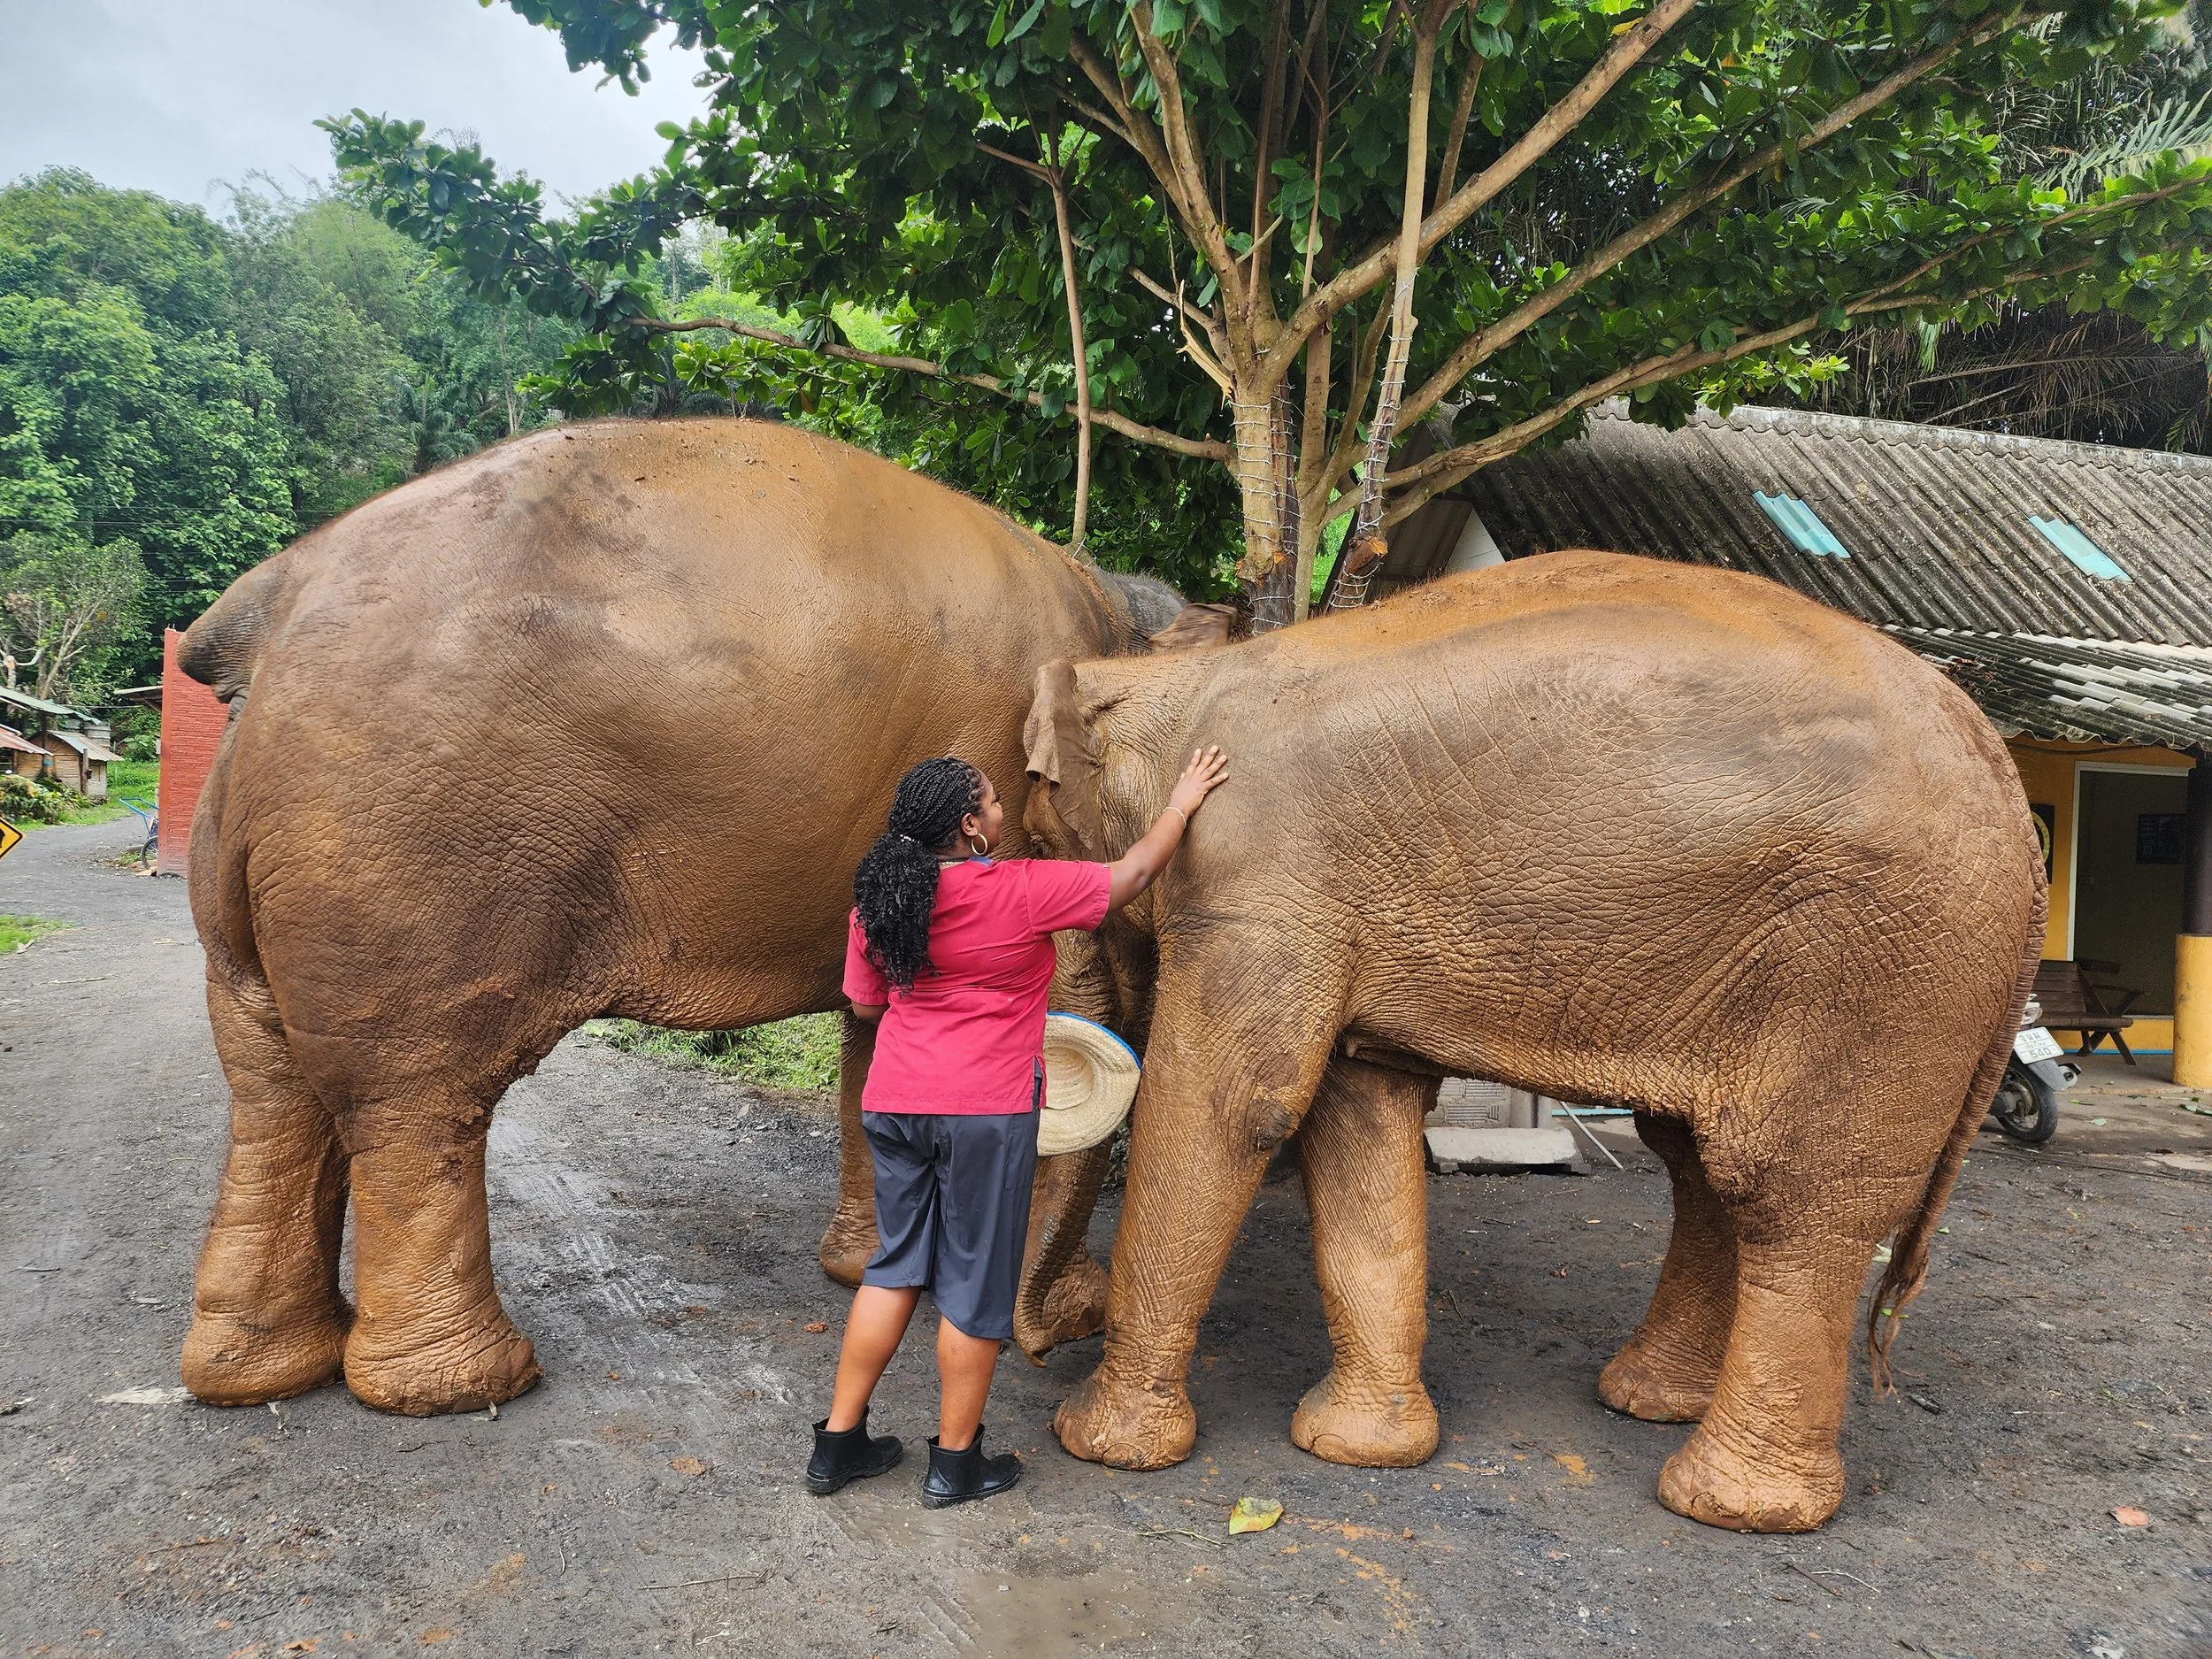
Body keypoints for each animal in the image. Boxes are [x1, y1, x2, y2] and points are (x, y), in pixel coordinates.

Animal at [176, 415, 1189, 1415]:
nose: (1052, 1333)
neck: (1108, 599)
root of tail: (269, 620)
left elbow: (881, 1024)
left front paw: (871, 1269)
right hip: (404, 855)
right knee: (412, 1099)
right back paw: (468, 1385)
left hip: (255, 858)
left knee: (270, 1080)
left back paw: (259, 1374)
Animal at [1016, 549, 2045, 1533]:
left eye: (1042, 840)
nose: (1063, 1323)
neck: (1181, 677)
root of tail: (2009, 784)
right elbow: (1360, 1116)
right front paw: (1357, 1449)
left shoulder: (1259, 878)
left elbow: (1236, 1107)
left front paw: (1101, 1446)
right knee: (1701, 1165)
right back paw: (1646, 1401)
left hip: (1879, 970)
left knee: (1791, 1195)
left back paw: (1727, 1504)